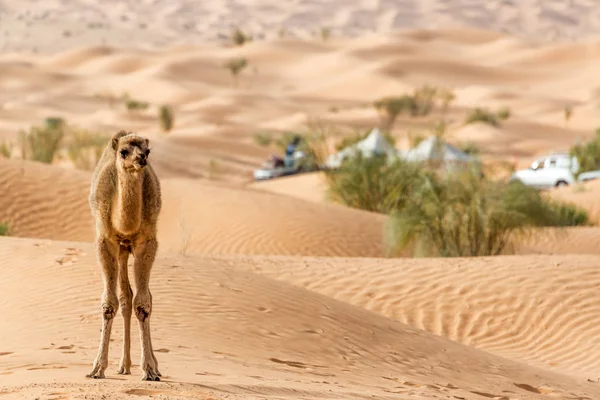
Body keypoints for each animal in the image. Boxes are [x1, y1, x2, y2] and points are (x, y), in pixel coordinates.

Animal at [85, 130, 162, 380]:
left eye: (147, 150)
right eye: (123, 151)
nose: (141, 159)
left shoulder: (146, 242)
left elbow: (143, 304)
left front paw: (149, 370)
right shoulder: (106, 240)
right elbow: (109, 303)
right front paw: (97, 368)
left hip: (128, 249)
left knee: (139, 297)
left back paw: (145, 365)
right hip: (121, 251)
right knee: (125, 297)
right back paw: (124, 366)